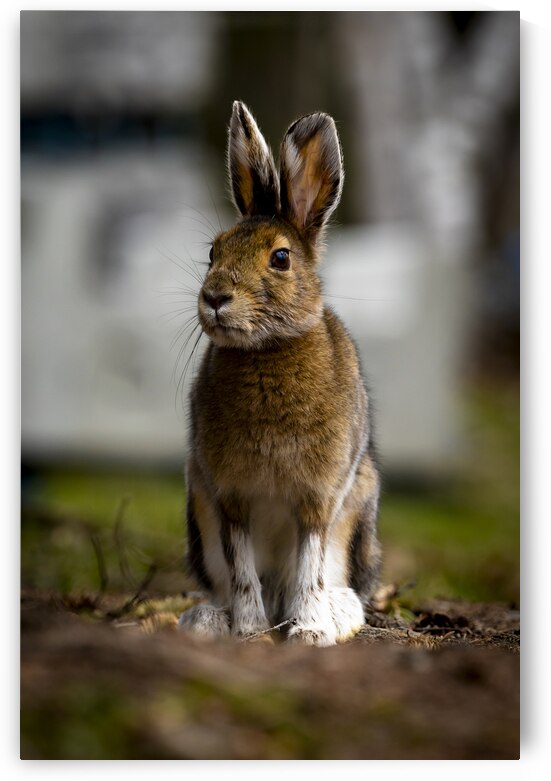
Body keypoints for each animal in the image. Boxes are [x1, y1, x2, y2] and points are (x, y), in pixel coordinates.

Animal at [178, 101, 381, 646]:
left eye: (281, 258)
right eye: (213, 251)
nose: (215, 297)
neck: (266, 350)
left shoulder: (318, 498)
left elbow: (308, 566)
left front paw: (309, 633)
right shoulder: (229, 498)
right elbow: (243, 571)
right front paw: (249, 632)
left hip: (356, 516)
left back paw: (336, 616)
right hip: (200, 517)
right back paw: (207, 621)